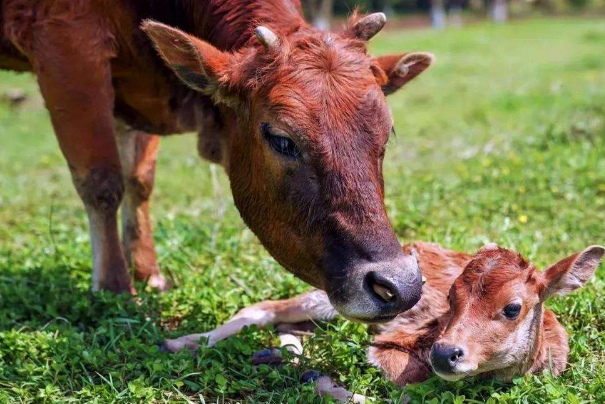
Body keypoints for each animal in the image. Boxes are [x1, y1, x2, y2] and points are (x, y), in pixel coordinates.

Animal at [0, 0, 434, 322]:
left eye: (387, 132)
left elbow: (139, 180)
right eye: (282, 140)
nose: (400, 285)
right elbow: (102, 181)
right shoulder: (65, 43)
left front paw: (147, 273)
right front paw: (114, 289)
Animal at [172, 240, 600, 394]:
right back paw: (179, 342)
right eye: (450, 296)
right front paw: (321, 381)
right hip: (335, 299)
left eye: (513, 307)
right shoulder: (393, 345)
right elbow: (404, 388)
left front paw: (312, 375)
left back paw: (280, 356)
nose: (444, 353)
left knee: (286, 325)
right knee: (263, 309)